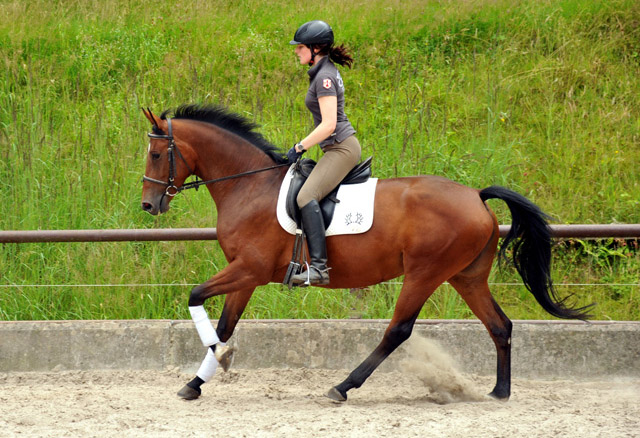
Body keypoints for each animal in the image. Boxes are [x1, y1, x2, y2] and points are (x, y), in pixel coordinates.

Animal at [140, 104, 592, 402]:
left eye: (157, 154)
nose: (148, 205)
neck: (249, 186)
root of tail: (476, 196)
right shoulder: (245, 274)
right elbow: (226, 323)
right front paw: (196, 382)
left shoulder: (248, 268)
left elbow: (196, 297)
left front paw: (220, 358)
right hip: (465, 276)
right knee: (500, 325)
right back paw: (498, 392)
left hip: (425, 272)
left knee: (398, 330)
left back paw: (342, 387)